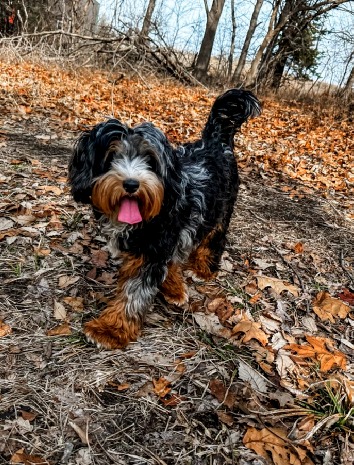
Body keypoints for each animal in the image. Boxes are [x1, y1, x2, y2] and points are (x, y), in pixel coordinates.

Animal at [68, 89, 260, 348]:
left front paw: (110, 329)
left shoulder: (155, 249)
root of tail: (215, 141)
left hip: (220, 211)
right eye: (111, 157)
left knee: (213, 239)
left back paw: (203, 268)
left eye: (150, 159)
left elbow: (134, 293)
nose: (131, 184)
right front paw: (173, 288)